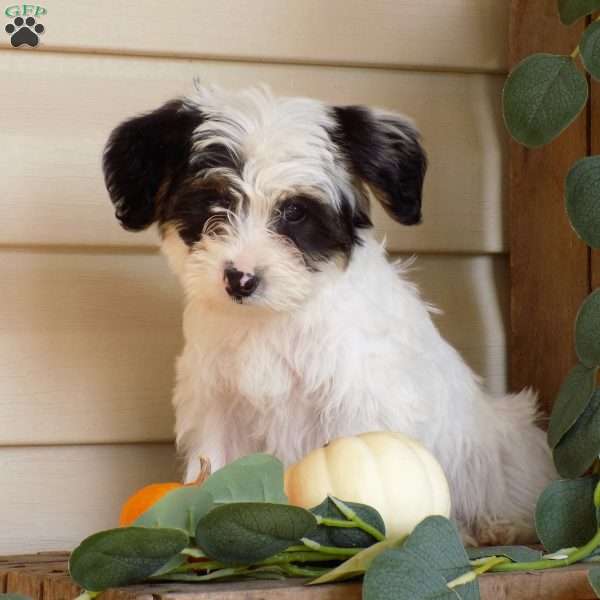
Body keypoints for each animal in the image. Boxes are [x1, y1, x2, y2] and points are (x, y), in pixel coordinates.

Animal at [104, 82, 556, 548]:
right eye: (213, 202)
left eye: (294, 212)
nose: (240, 279)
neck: (274, 315)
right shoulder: (217, 402)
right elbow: (212, 465)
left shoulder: (358, 398)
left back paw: (497, 525)